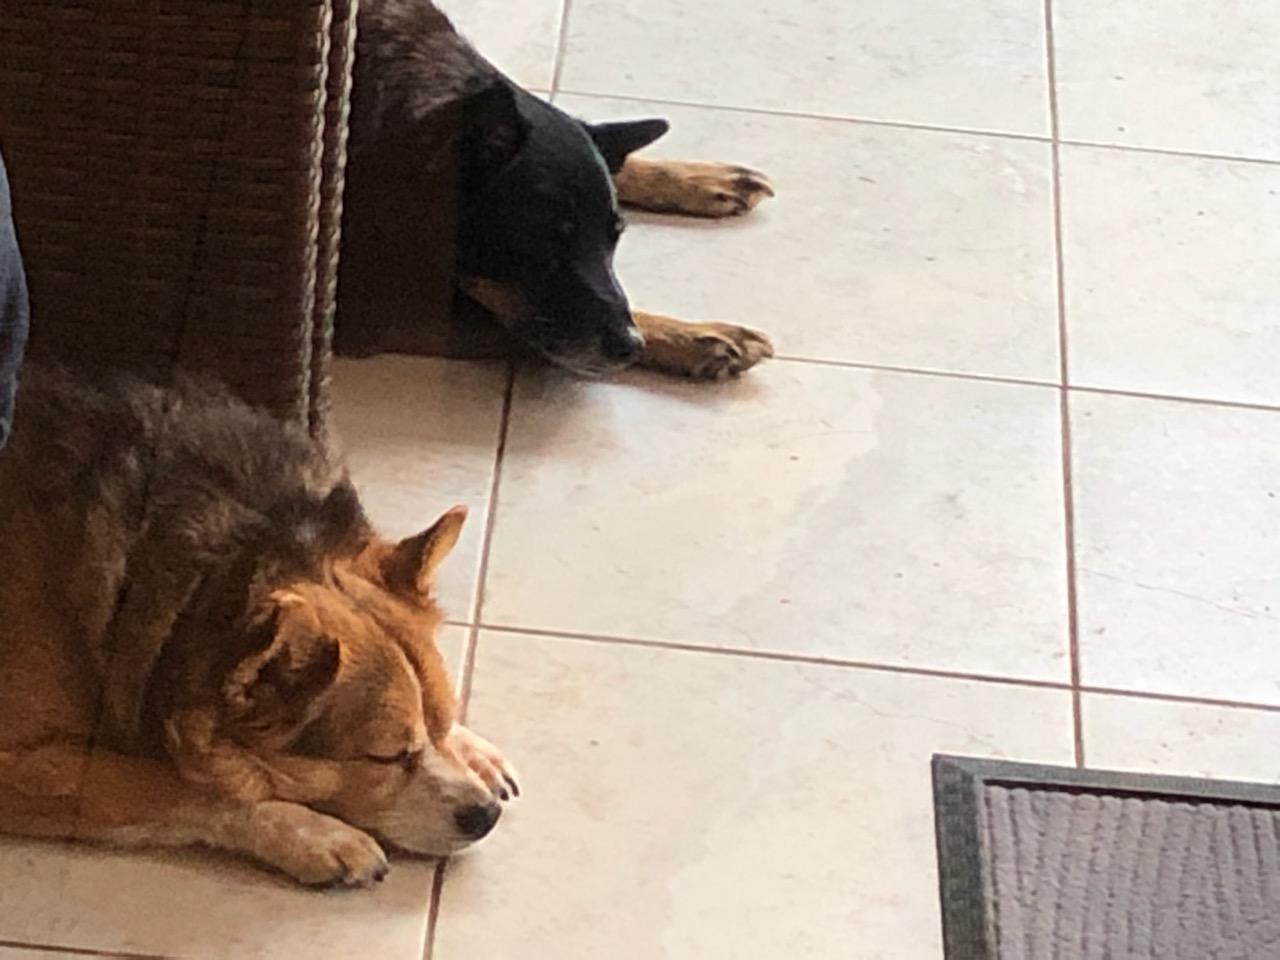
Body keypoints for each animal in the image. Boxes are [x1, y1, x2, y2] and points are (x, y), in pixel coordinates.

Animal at [0, 364, 515, 887]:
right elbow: (190, 786)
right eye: (384, 757)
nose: (485, 816)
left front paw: (472, 748)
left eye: (442, 721)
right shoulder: (22, 763)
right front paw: (315, 834)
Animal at [336, 0, 776, 380]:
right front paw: (693, 337)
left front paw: (697, 177)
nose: (630, 346)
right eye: (541, 242)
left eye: (616, 238)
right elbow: (519, 332)